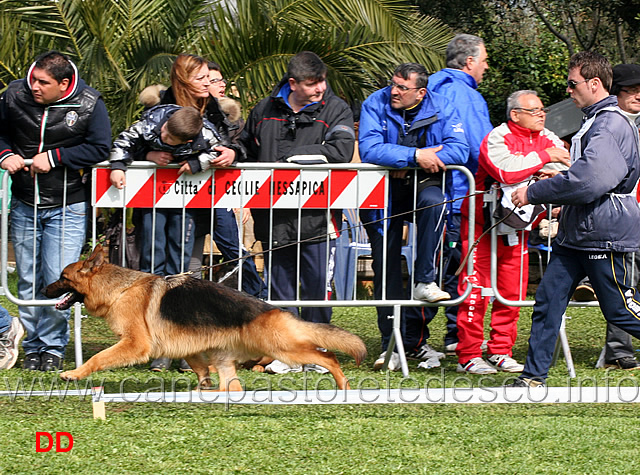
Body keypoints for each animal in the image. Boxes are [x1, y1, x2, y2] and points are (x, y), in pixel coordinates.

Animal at [43, 245, 364, 390]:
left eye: (63, 278)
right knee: (232, 382)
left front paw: (74, 373)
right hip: (237, 355)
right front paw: (203, 387)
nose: (43, 288)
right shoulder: (189, 346)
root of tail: (272, 309)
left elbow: (98, 358)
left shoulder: (135, 344)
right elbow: (199, 368)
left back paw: (343, 385)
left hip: (283, 349)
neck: (120, 289)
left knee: (327, 356)